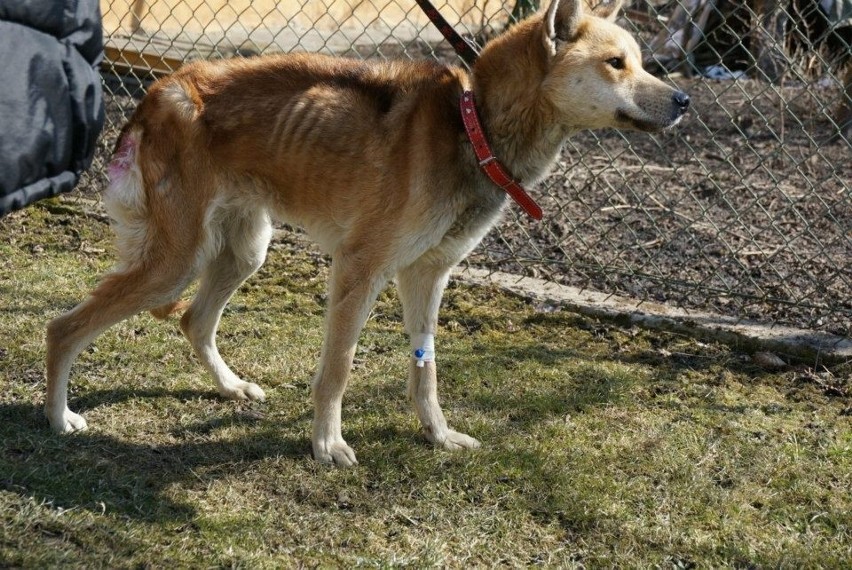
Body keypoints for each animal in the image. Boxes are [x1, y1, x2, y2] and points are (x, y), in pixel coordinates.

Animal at [46, 0, 688, 464]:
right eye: (616, 63)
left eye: (638, 60)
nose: (683, 99)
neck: (472, 123)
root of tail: (160, 90)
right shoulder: (361, 270)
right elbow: (338, 370)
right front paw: (327, 445)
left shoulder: (427, 277)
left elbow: (425, 369)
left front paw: (438, 435)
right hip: (174, 263)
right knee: (64, 327)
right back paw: (58, 417)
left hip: (244, 252)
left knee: (194, 321)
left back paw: (230, 388)